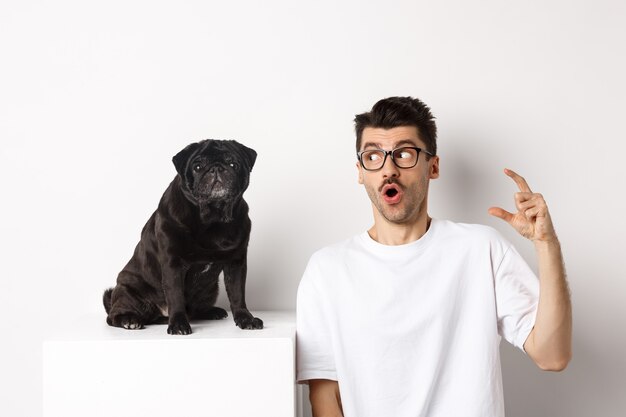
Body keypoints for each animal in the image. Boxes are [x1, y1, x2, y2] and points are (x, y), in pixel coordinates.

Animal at [102, 138, 260, 334]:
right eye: (197, 167)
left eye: (233, 164)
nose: (216, 168)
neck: (212, 218)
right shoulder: (173, 264)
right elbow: (175, 296)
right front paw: (178, 324)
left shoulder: (236, 263)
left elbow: (238, 294)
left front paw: (245, 319)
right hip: (129, 291)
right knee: (113, 316)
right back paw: (129, 320)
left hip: (210, 290)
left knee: (196, 309)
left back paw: (212, 311)